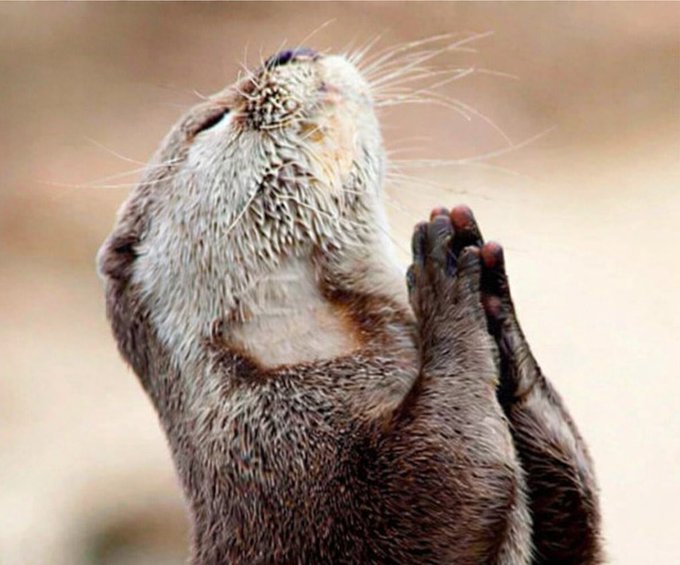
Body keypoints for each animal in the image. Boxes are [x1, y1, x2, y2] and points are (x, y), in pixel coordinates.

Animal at [98, 47, 601, 563]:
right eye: (212, 120)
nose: (287, 52)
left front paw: (496, 310)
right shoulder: (287, 457)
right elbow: (443, 479)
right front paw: (442, 281)